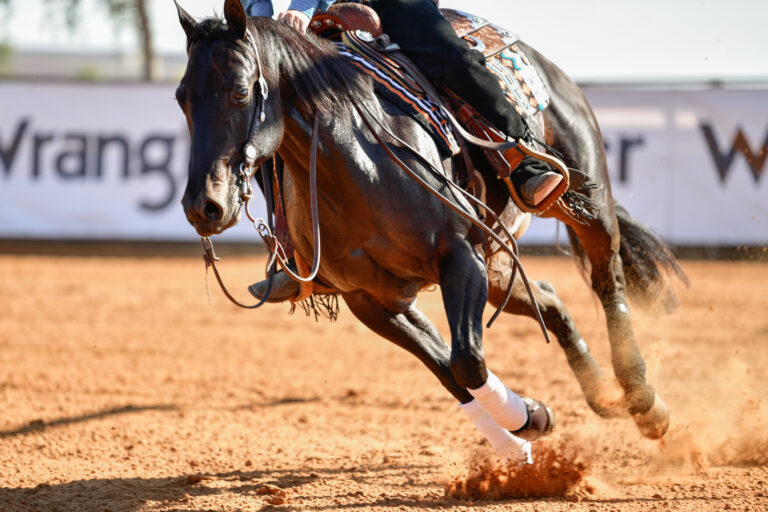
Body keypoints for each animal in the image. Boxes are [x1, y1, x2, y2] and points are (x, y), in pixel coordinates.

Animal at [174, 0, 687, 450]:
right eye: (182, 99)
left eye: (241, 90)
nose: (204, 206)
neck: (360, 161)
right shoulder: (372, 297)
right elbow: (447, 368)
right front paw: (525, 426)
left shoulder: (458, 257)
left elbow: (467, 362)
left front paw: (525, 418)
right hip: (497, 262)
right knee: (549, 299)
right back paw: (602, 396)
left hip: (587, 198)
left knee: (607, 280)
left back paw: (645, 403)